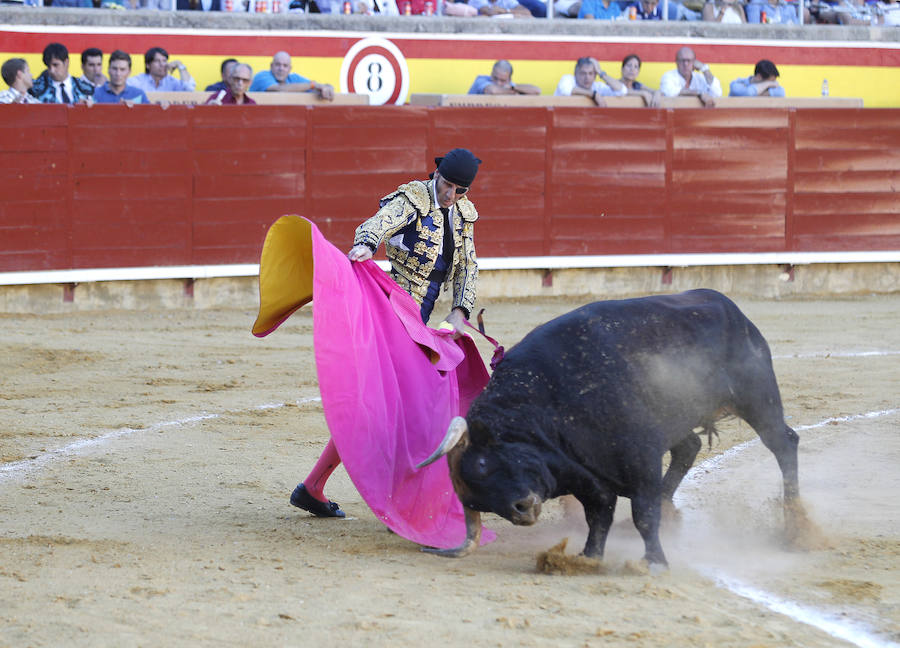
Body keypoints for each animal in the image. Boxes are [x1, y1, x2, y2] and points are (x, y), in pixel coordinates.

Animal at [420, 290, 800, 568]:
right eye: (479, 502)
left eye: (484, 464)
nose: (521, 510)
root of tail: (731, 308)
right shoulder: (589, 477)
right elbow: (598, 516)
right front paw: (588, 558)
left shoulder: (640, 458)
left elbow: (643, 513)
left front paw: (653, 562)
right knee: (688, 447)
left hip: (758, 397)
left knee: (784, 443)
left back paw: (795, 524)